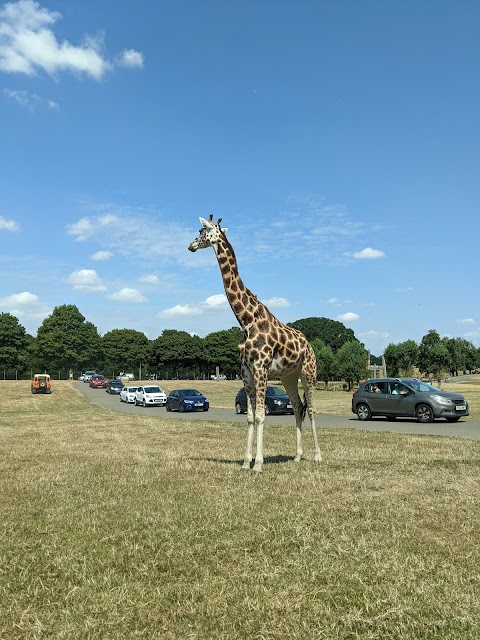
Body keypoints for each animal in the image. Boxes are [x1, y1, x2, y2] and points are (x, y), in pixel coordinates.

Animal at [189, 215, 320, 470]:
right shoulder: (246, 370)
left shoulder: (260, 367)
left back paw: (318, 456)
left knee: (310, 409)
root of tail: (309, 345)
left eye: (201, 231)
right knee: (297, 407)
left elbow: (260, 415)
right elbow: (250, 417)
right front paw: (245, 463)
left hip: (308, 372)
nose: (190, 246)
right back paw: (297, 455)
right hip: (289, 376)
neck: (246, 320)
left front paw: (258, 464)